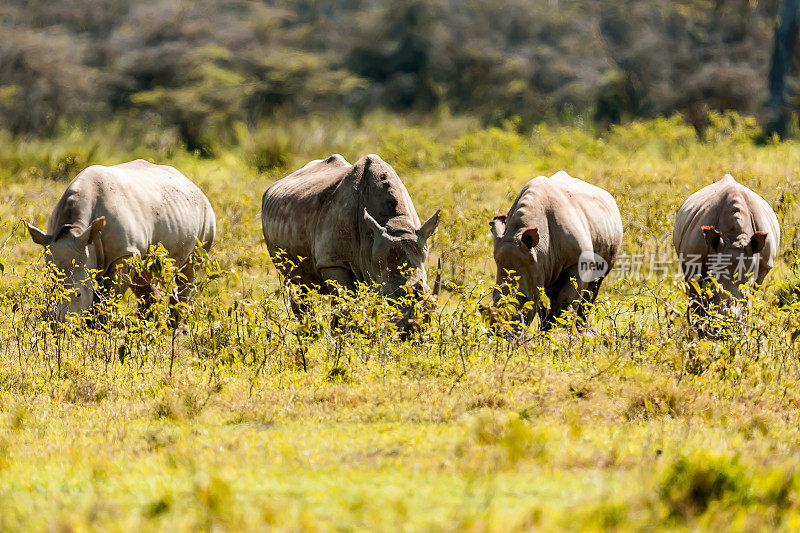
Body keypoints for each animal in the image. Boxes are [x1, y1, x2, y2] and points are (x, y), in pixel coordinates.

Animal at [27, 159, 216, 320]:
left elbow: (108, 297)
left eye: (78, 294)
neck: (78, 230)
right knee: (143, 278)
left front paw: (98, 327)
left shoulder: (124, 253)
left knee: (189, 271)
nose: (57, 326)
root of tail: (193, 185)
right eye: (46, 292)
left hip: (206, 218)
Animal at [260, 152, 438, 322]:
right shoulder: (332, 261)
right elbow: (345, 304)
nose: (412, 329)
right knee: (293, 281)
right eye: (386, 297)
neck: (394, 222)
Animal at [488, 171, 624, 328]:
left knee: (593, 287)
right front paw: (547, 327)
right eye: (493, 296)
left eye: (523, 298)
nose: (501, 331)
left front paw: (558, 328)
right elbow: (541, 301)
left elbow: (566, 301)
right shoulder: (539, 265)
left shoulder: (578, 262)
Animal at [672, 175, 780, 322]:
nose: (728, 320)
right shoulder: (693, 262)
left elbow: (749, 300)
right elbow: (700, 296)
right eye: (713, 283)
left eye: (747, 285)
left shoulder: (762, 268)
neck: (735, 236)